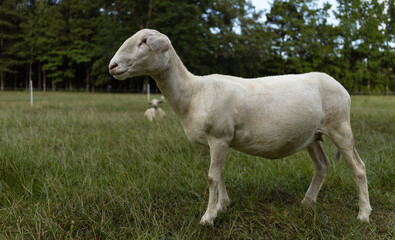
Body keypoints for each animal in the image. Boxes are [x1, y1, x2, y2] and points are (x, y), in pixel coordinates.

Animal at [110, 29, 372, 226]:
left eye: (144, 41)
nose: (112, 66)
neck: (193, 93)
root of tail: (341, 87)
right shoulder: (218, 141)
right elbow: (220, 174)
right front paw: (222, 206)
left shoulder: (219, 136)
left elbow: (212, 177)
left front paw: (208, 218)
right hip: (311, 135)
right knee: (322, 165)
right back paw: (307, 203)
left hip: (340, 126)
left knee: (359, 168)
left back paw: (363, 214)